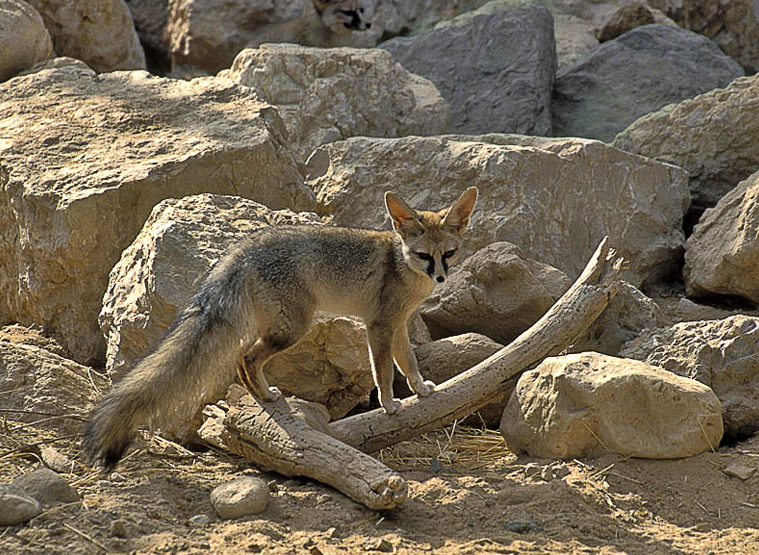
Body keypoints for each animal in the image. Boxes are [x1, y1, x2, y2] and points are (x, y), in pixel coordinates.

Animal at [83, 188, 476, 470]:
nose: (441, 278)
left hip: (279, 328)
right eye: (424, 256)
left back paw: (262, 398)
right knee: (245, 357)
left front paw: (421, 391)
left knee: (242, 359)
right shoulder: (378, 325)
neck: (402, 265)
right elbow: (383, 371)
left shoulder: (398, 326)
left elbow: (408, 362)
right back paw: (267, 396)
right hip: (293, 329)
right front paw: (390, 405)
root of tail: (242, 249)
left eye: (449, 254)